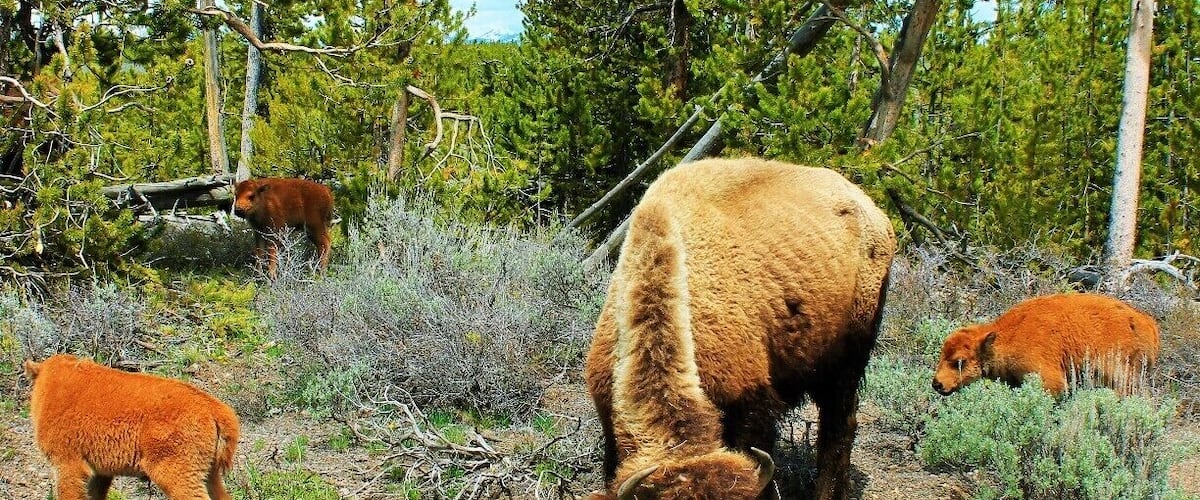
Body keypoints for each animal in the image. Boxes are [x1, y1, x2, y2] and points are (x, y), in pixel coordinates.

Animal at [932, 293, 1161, 397]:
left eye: (959, 361)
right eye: (941, 355)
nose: (937, 384)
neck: (1008, 335)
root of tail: (1147, 323)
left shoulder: (1048, 378)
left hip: (1120, 374)